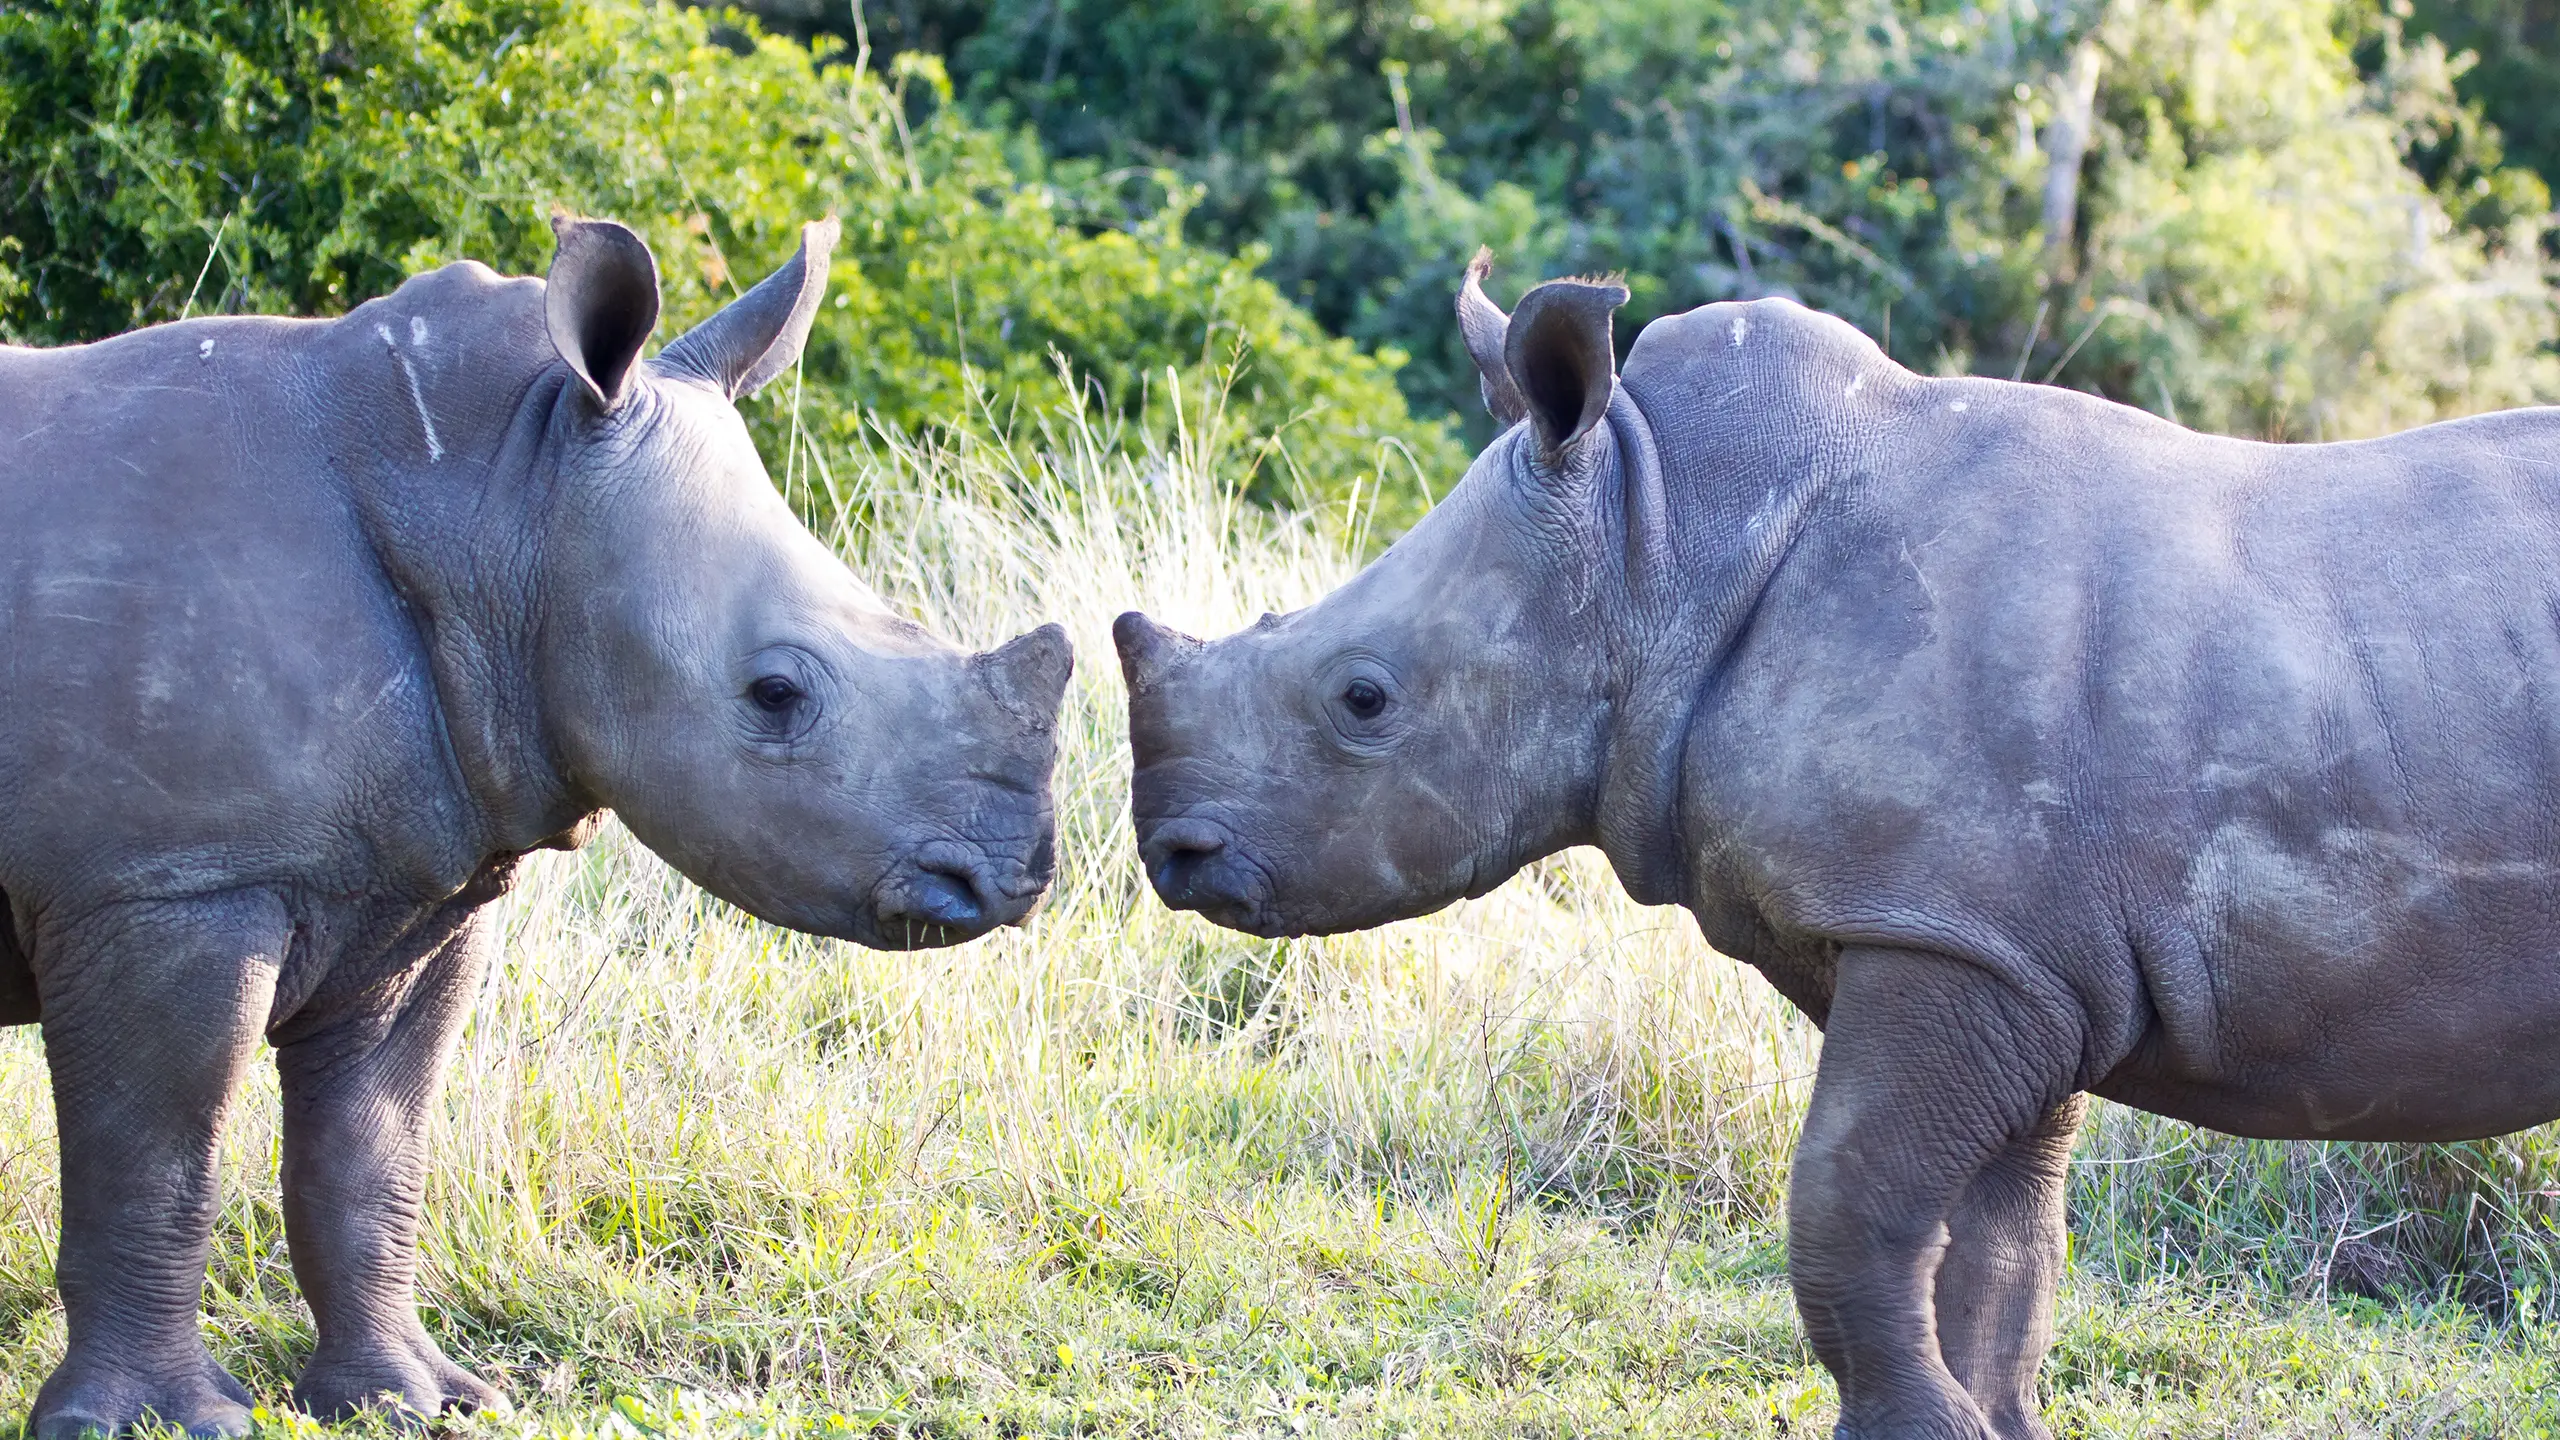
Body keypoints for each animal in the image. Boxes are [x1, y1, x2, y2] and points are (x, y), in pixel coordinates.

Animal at [0, 216, 1071, 1438]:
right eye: (775, 696)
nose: (1009, 880)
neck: (501, 495)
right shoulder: (165, 883)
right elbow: (157, 1153)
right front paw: (159, 1424)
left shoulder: (412, 879)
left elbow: (370, 1146)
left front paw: (418, 1403)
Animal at [1115, 251, 2560, 1439]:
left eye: (1363, 699)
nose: (1174, 855)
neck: (1657, 548)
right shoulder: (2017, 949)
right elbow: (1999, 1250)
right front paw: (1986, 1425)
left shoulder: (1949, 933)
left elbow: (1849, 1202)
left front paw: (1922, 1430)